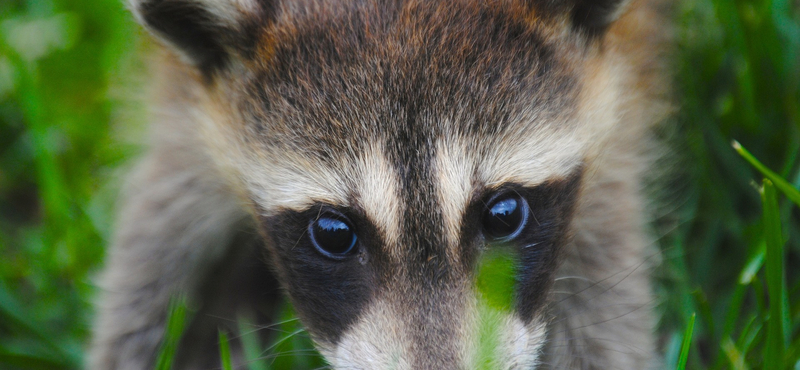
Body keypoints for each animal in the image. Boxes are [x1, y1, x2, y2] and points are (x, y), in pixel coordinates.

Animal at [90, 0, 672, 368]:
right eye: (334, 233)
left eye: (502, 214)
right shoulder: (190, 106)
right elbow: (156, 244)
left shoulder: (611, 105)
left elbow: (602, 293)